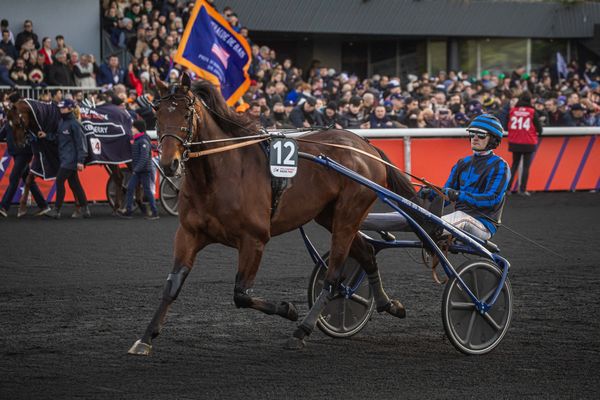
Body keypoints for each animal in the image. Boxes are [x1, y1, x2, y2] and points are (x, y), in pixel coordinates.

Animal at [129, 73, 432, 354]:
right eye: (157, 112)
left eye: (187, 112)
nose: (169, 163)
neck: (220, 174)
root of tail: (366, 146)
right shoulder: (189, 234)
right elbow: (172, 285)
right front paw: (145, 338)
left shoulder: (254, 239)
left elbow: (241, 294)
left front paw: (289, 309)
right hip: (330, 216)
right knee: (366, 254)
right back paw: (388, 304)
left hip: (349, 213)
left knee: (333, 276)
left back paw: (302, 330)